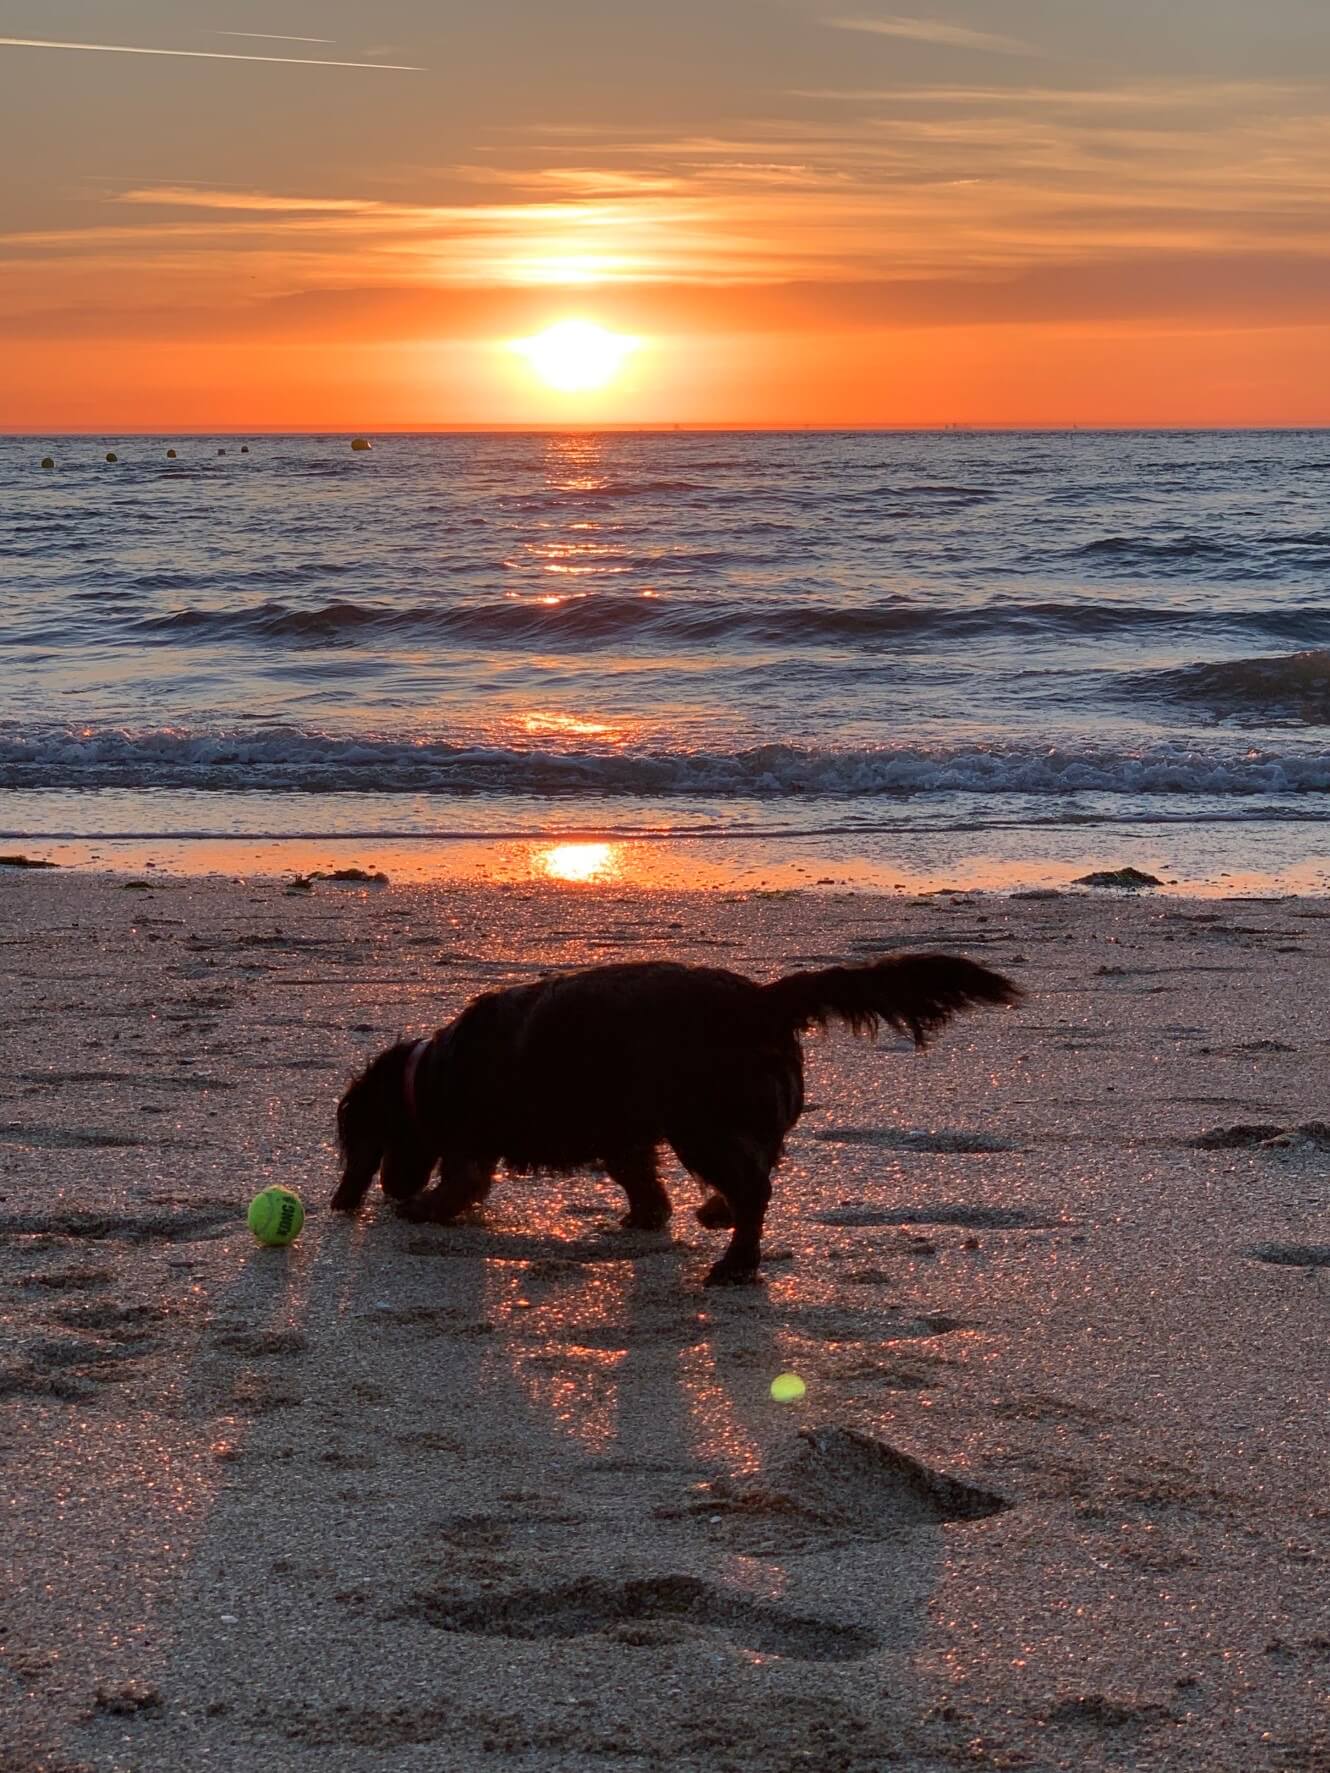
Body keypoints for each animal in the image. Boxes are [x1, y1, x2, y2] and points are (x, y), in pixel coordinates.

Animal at [333, 964, 1021, 1283]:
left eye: (366, 1144)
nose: (372, 1193)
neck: (431, 1070)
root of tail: (763, 999)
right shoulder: (624, 1135)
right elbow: (642, 1183)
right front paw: (646, 1216)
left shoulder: (470, 1145)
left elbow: (459, 1184)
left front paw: (420, 1208)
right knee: (757, 1168)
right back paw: (717, 1214)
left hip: (699, 1125)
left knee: (756, 1187)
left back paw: (736, 1262)